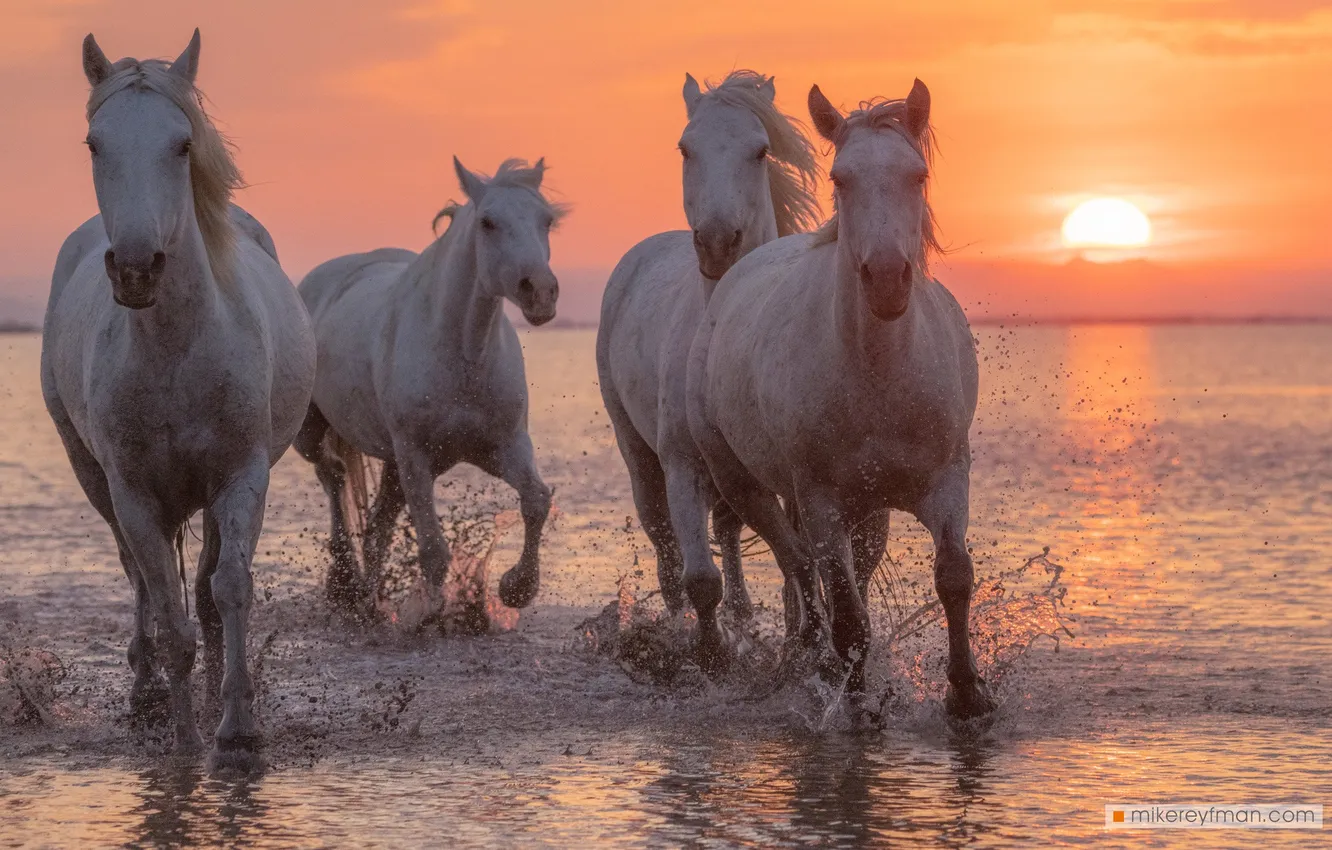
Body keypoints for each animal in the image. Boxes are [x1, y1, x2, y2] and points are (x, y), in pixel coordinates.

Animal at [41, 30, 317, 754]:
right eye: (94, 144)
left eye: (183, 143)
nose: (138, 269)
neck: (176, 350)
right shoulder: (133, 493)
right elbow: (165, 610)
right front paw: (187, 740)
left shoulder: (242, 474)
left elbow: (231, 587)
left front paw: (239, 729)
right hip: (94, 477)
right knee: (140, 578)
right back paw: (145, 691)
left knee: (208, 583)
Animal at [294, 158, 564, 619]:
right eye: (489, 222)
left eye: (546, 220)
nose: (541, 292)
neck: (463, 356)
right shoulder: (415, 456)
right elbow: (434, 549)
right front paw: (427, 615)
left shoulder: (502, 447)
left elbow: (536, 499)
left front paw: (517, 587)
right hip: (314, 434)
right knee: (333, 474)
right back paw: (346, 581)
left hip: (393, 464)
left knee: (377, 524)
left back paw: (369, 599)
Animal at [595, 71, 820, 666]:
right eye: (684, 148)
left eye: (760, 150)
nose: (718, 243)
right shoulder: (682, 466)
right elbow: (700, 579)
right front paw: (710, 654)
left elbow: (794, 564)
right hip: (638, 455)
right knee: (665, 544)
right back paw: (678, 625)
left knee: (728, 531)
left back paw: (741, 618)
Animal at [687, 80, 996, 717]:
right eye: (840, 179)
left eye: (917, 175)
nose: (886, 279)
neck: (877, 376)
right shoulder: (821, 500)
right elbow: (847, 612)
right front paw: (855, 706)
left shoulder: (947, 478)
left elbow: (954, 576)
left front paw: (967, 692)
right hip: (747, 484)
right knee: (799, 566)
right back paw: (815, 659)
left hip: (869, 510)